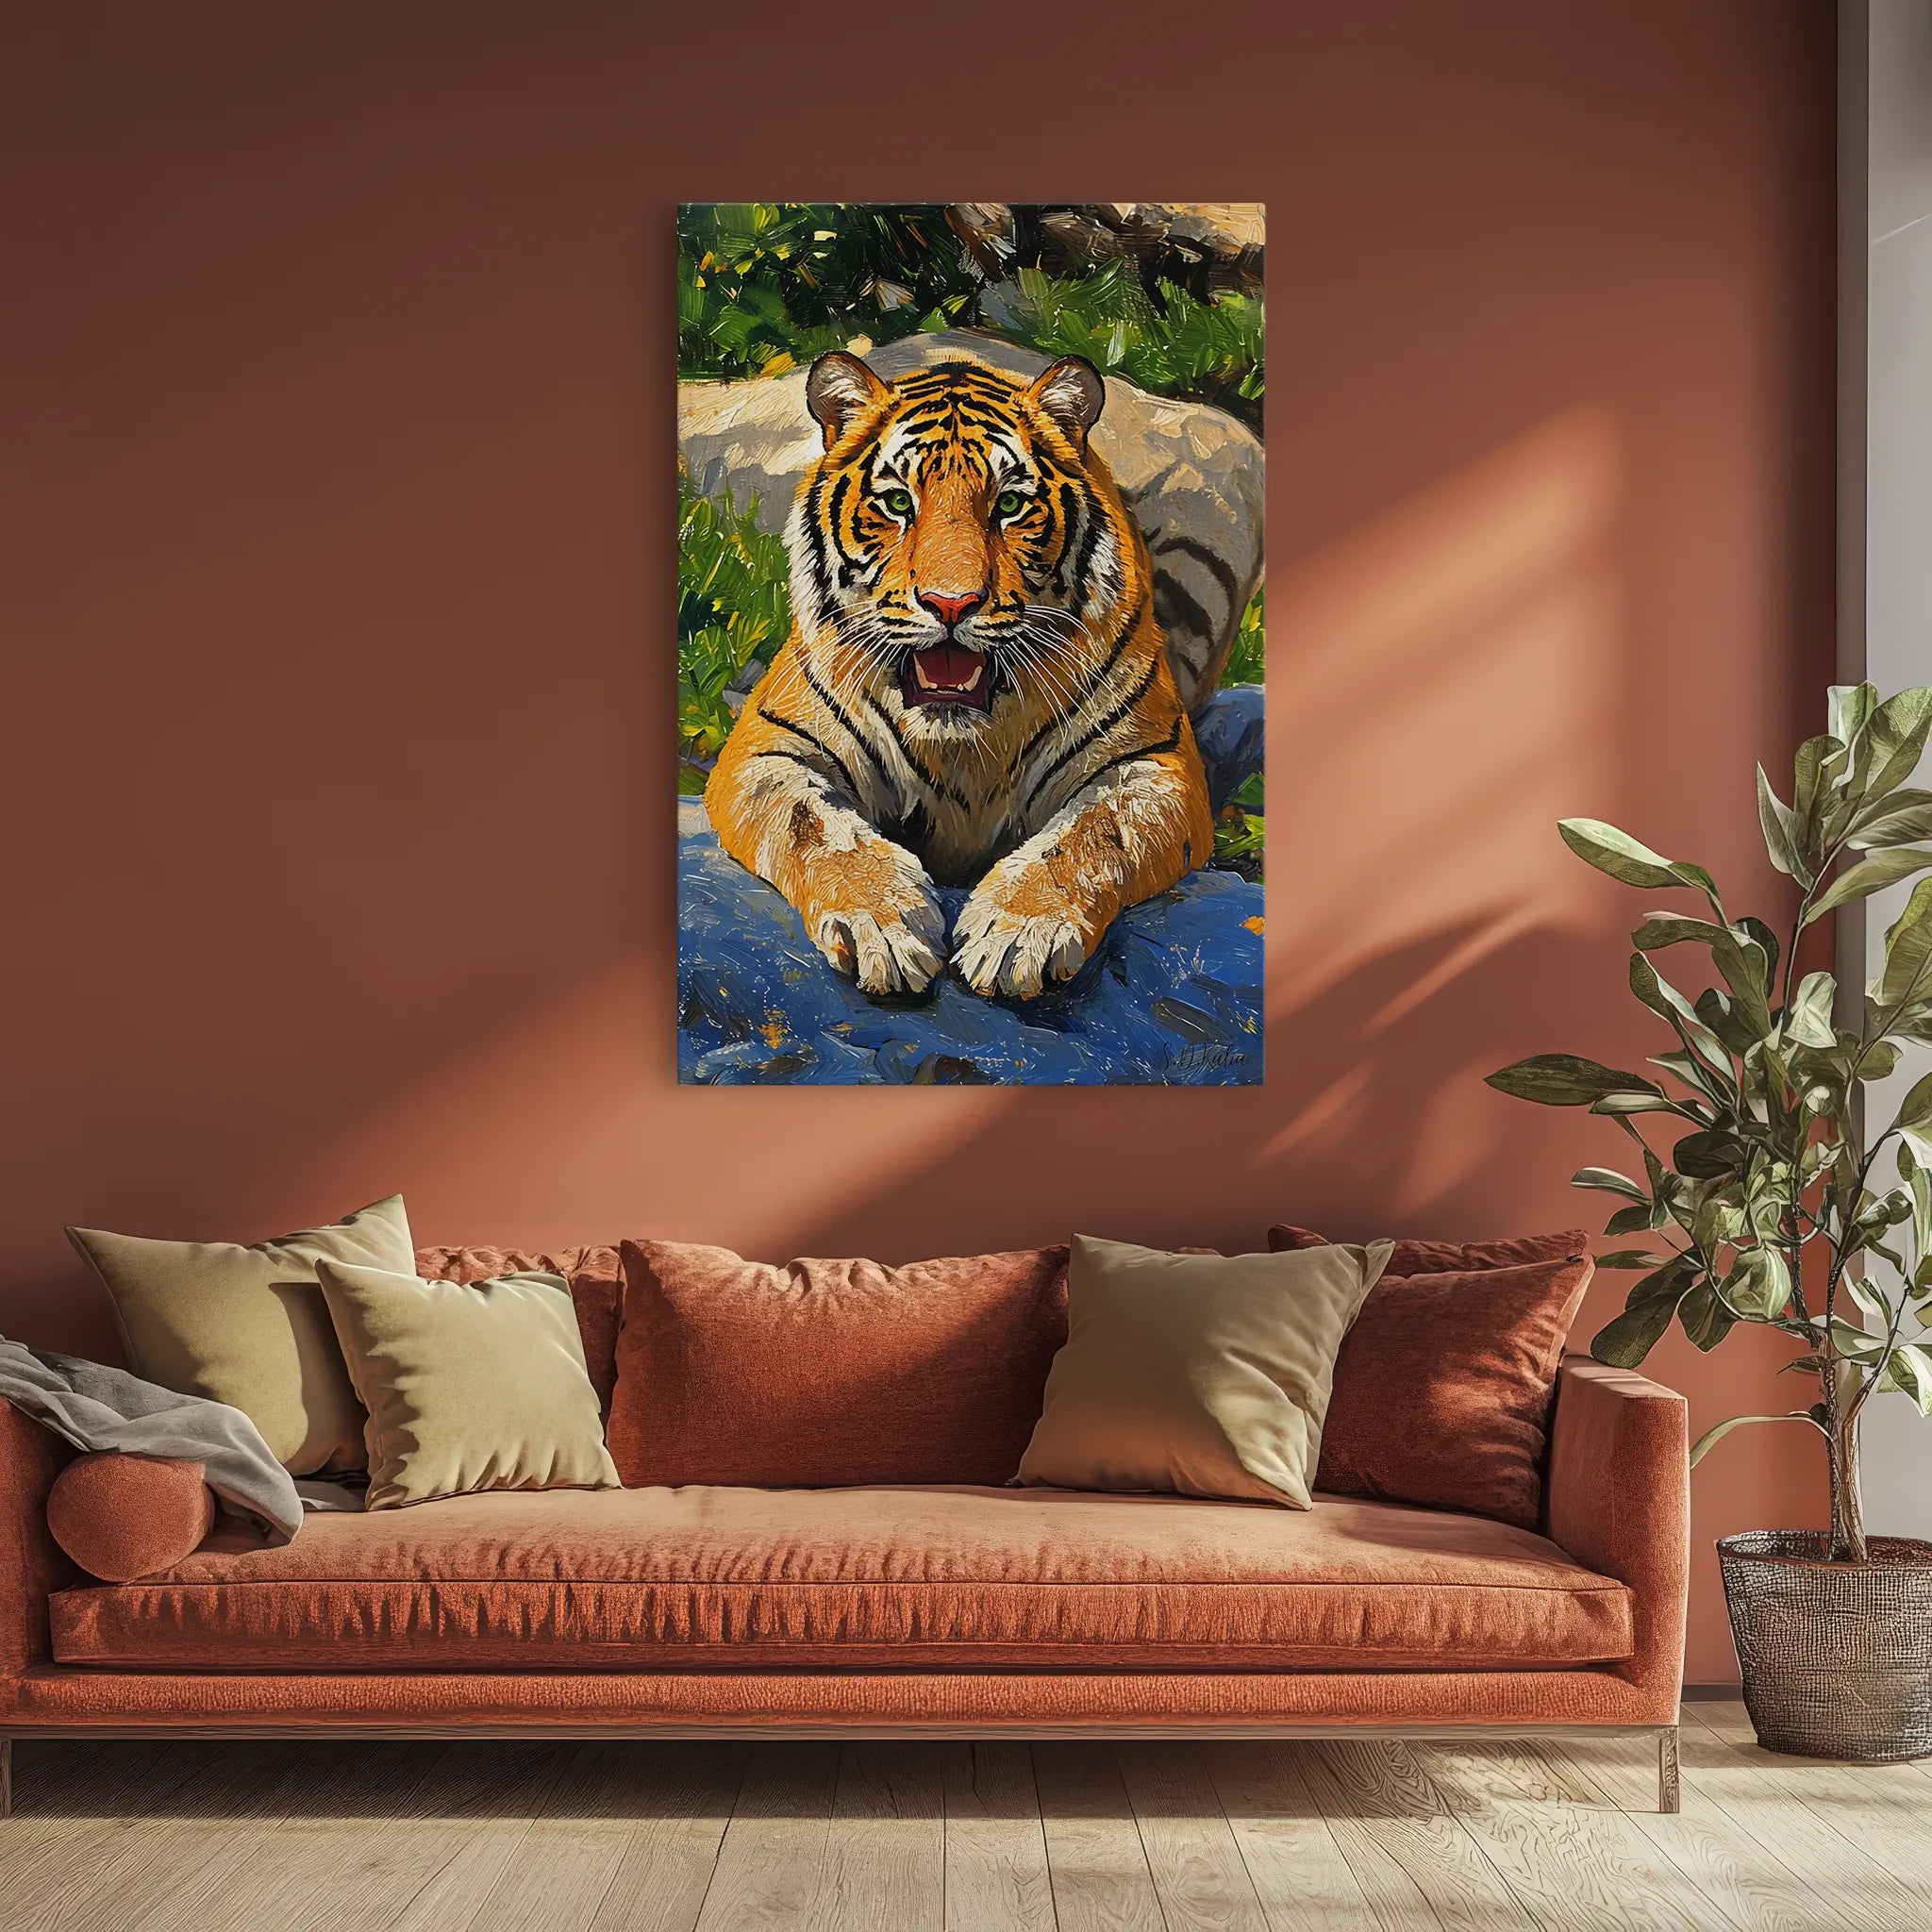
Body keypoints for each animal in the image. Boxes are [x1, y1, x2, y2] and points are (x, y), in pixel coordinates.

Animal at [705, 349, 1217, 1000]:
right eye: (899, 504)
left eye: (1009, 505)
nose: (951, 605)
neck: (963, 750)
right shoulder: (768, 751)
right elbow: (817, 829)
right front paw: (884, 925)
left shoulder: (1153, 765)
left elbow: (1093, 833)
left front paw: (1019, 932)